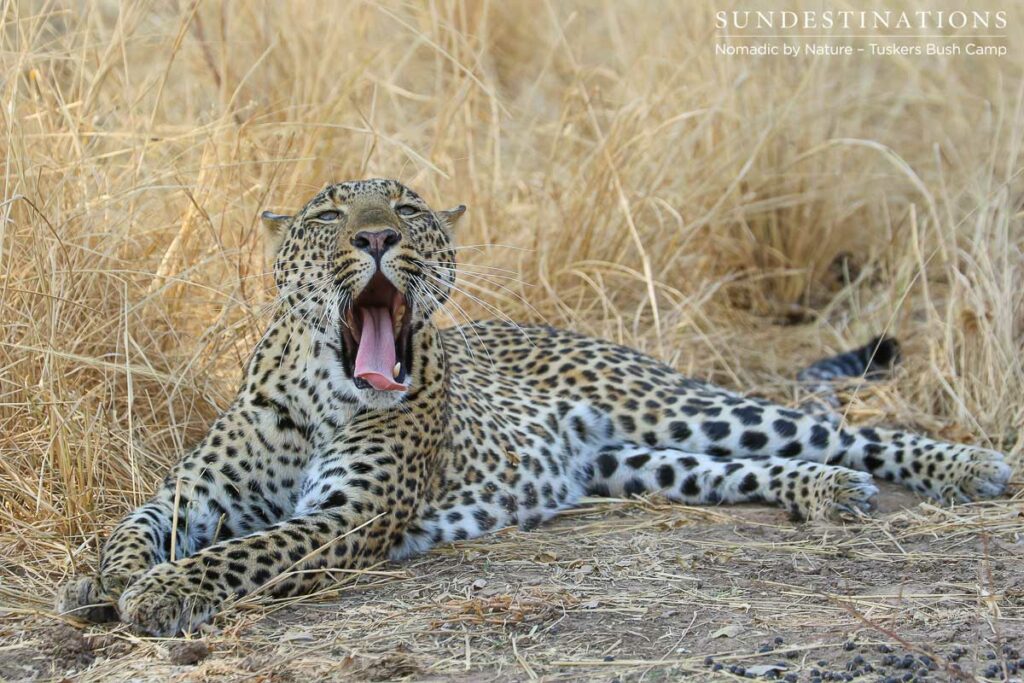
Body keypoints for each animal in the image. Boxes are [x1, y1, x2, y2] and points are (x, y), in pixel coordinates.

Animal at [55, 178, 1012, 637]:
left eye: (406, 204)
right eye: (328, 213)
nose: (376, 235)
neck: (324, 387)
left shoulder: (346, 516)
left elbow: (245, 551)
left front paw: (160, 592)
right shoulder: (193, 493)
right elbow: (130, 526)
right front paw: (104, 580)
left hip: (679, 406)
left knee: (845, 428)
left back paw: (967, 466)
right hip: (647, 462)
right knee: (748, 468)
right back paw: (822, 490)